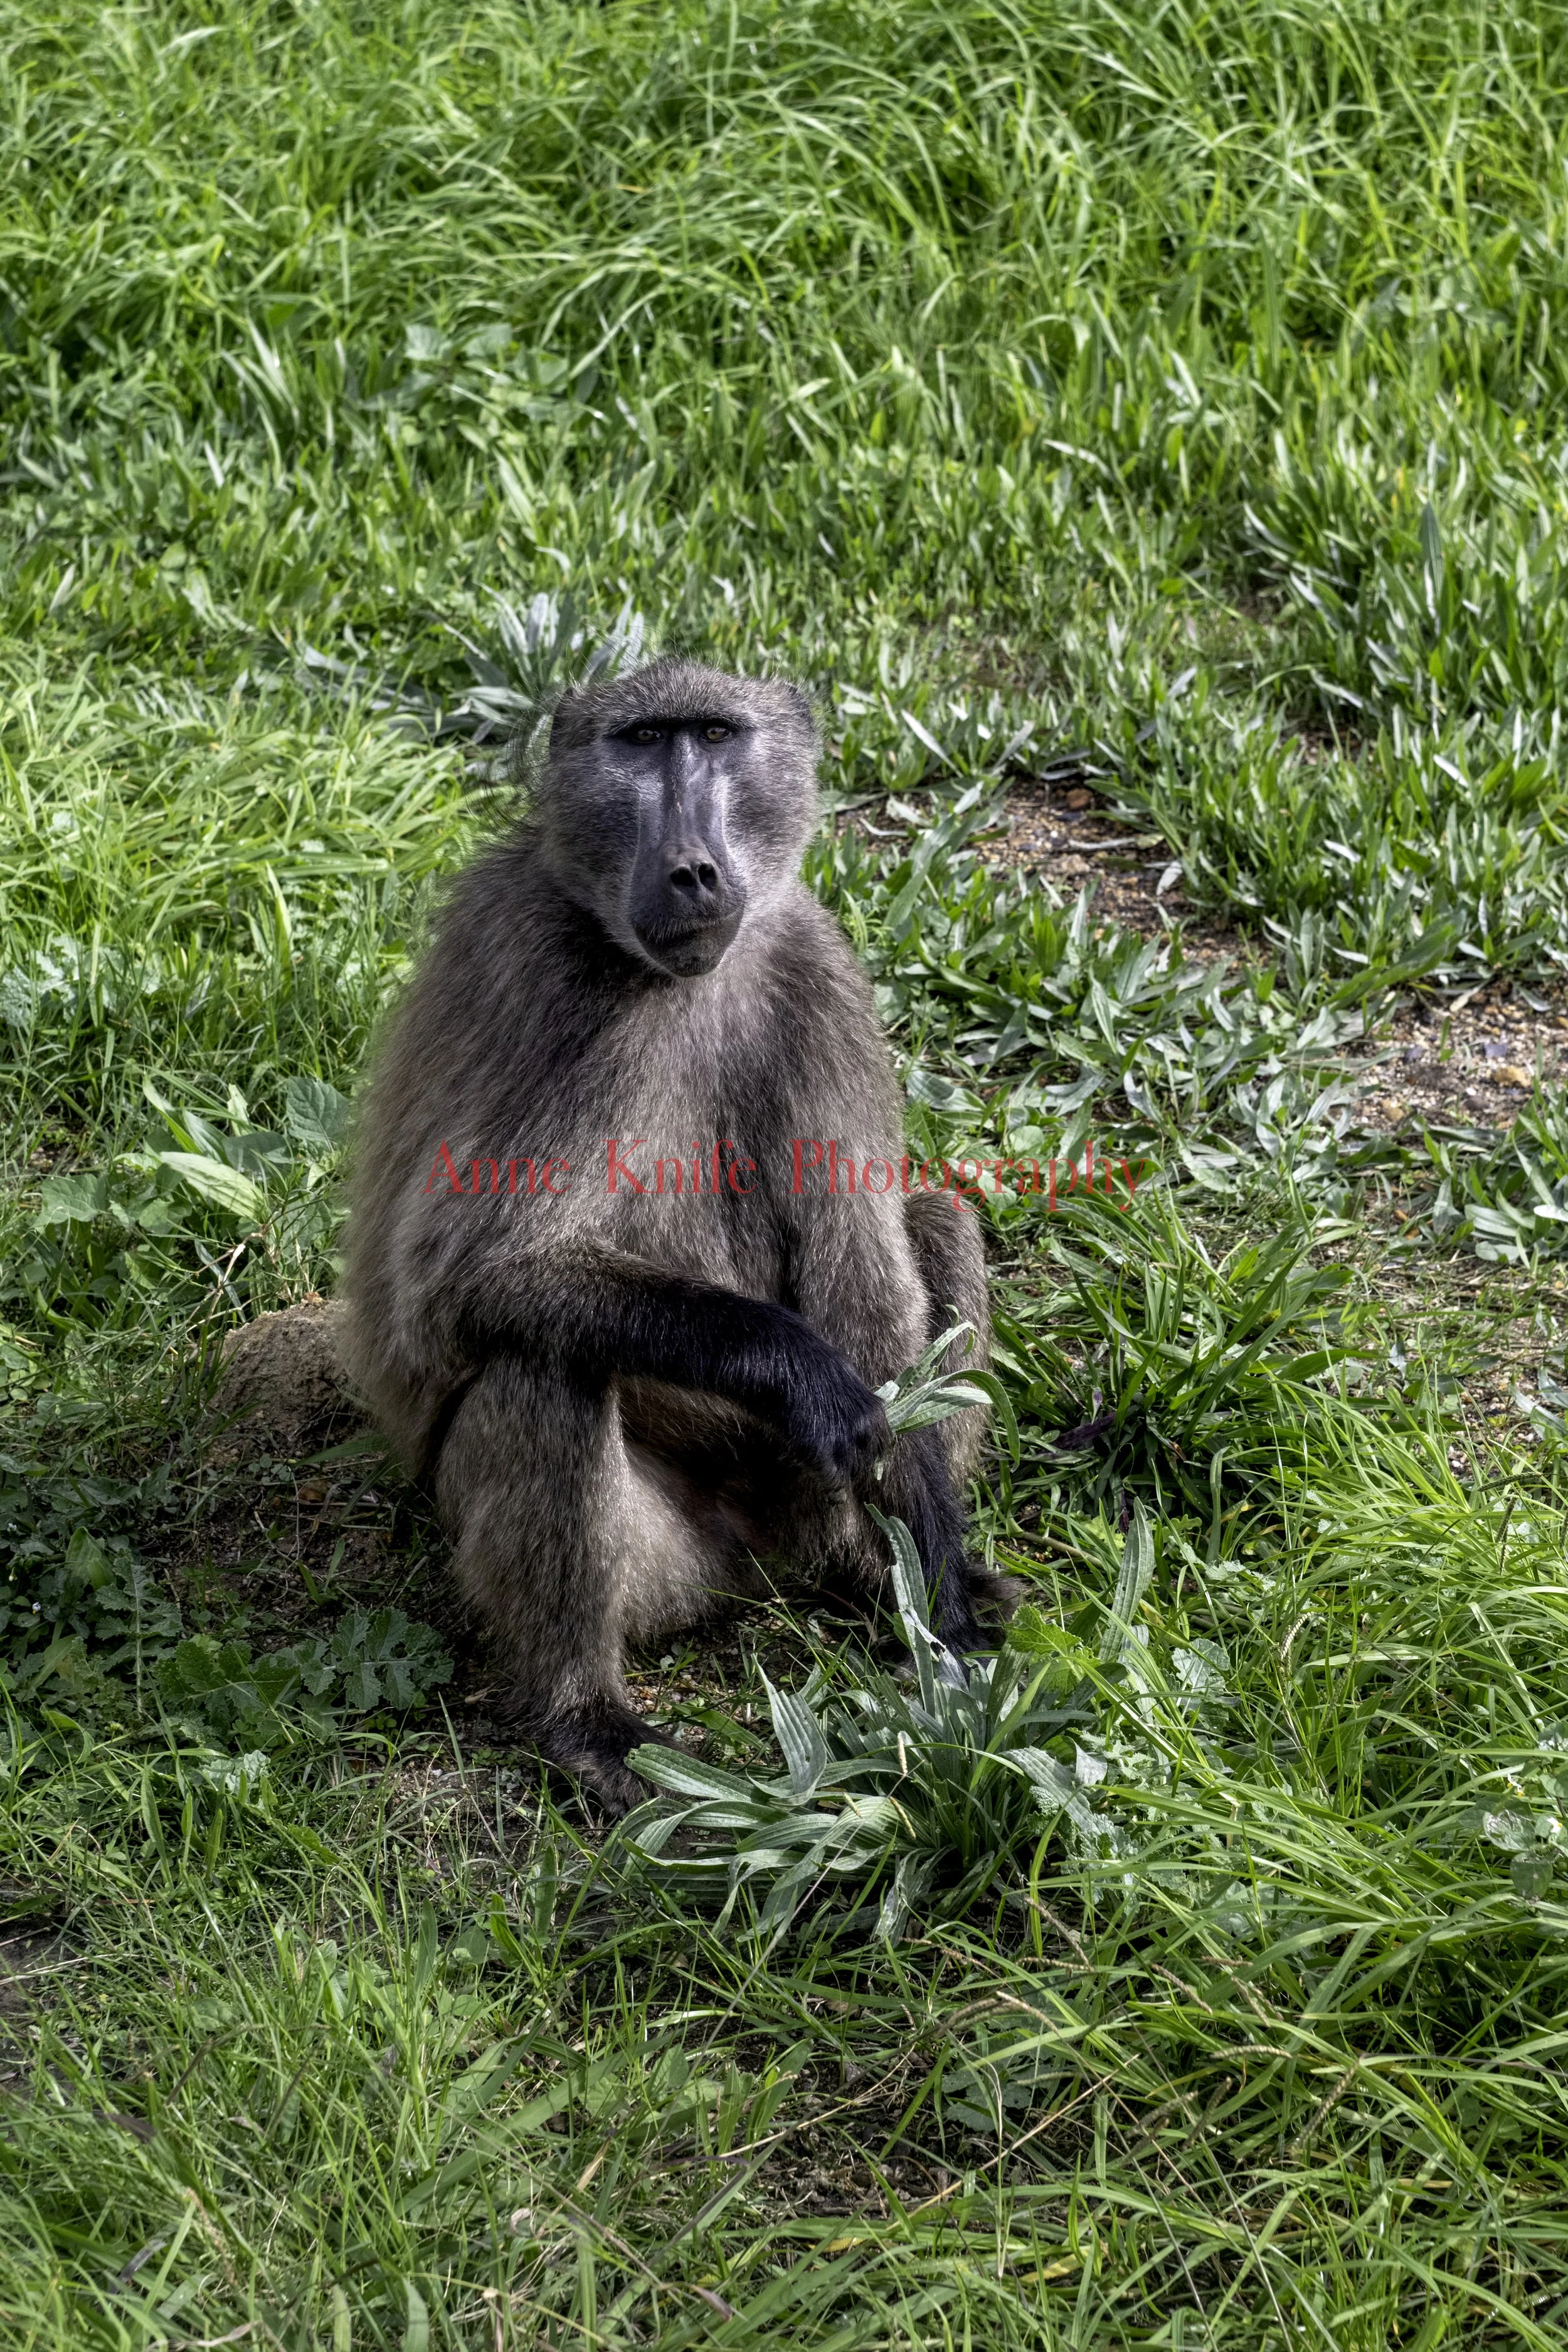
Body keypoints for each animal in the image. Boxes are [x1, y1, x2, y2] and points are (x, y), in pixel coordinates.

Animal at [341, 657, 997, 1811]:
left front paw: (940, 1604)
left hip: (812, 1509)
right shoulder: (548, 977)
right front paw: (805, 1375)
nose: (693, 870)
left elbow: (865, 1270)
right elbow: (467, 1273)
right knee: (546, 1362)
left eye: (715, 736)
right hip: (662, 1566)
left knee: (939, 1217)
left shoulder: (818, 966)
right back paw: (589, 1723)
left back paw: (880, 1575)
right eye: (642, 744)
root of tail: (764, 1563)